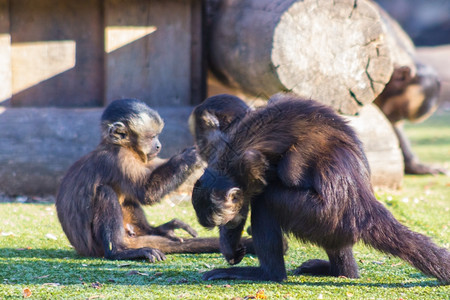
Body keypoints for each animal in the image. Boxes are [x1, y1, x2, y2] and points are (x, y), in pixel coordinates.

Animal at [191, 94, 450, 284]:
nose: (199, 145)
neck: (225, 162)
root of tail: (363, 206)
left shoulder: (243, 165)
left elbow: (256, 179)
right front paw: (231, 245)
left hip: (321, 214)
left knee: (269, 198)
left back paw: (269, 275)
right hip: (334, 223)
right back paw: (343, 272)